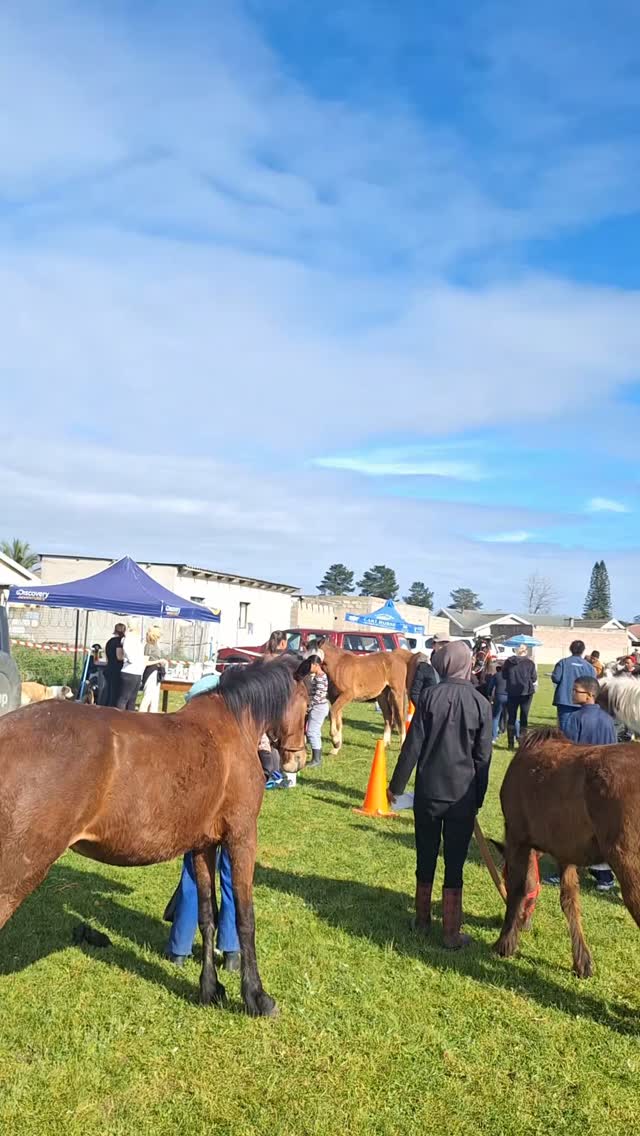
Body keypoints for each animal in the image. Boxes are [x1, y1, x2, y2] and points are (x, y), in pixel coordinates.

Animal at [0, 657, 309, 1017]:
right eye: (307, 703)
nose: (297, 759)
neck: (232, 726)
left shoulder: (203, 846)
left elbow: (207, 915)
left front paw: (210, 988)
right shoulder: (242, 837)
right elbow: (245, 918)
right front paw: (257, 997)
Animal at [494, 726, 640, 977]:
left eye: (502, 874)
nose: (525, 923)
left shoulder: (517, 838)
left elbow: (519, 888)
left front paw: (505, 943)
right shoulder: (566, 851)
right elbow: (570, 900)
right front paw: (582, 962)